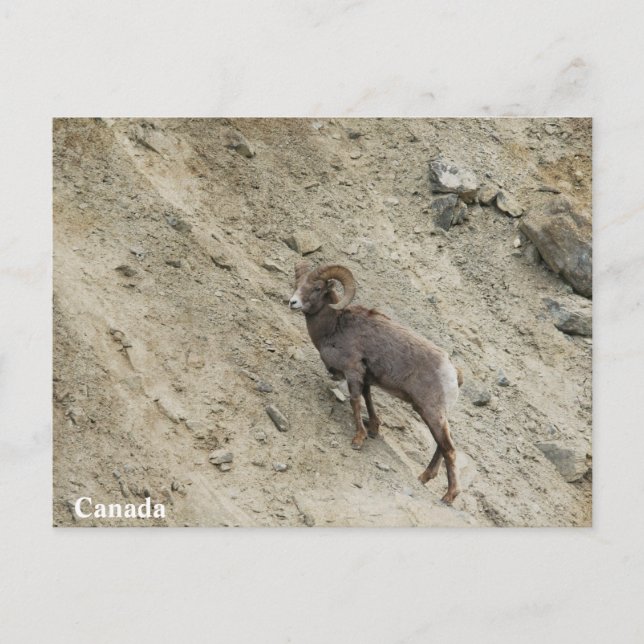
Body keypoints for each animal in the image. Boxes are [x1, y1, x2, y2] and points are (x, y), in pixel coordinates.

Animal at [289, 262, 463, 504]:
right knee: (442, 445)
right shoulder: (366, 378)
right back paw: (423, 478)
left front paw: (359, 439)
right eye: (297, 283)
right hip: (434, 415)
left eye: (317, 288)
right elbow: (368, 399)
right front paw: (373, 429)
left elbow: (355, 401)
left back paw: (448, 496)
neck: (334, 327)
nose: (292, 302)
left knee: (449, 449)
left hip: (431, 412)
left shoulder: (353, 372)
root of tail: (453, 373)